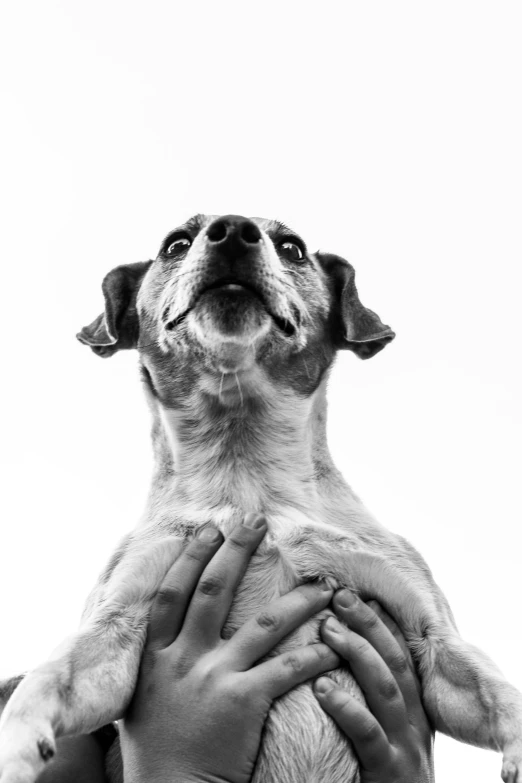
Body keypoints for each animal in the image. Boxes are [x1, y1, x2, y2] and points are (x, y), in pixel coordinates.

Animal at [1, 214, 520, 783]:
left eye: (291, 247)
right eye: (176, 244)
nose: (232, 229)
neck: (245, 475)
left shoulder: (438, 645)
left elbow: (503, 698)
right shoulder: (111, 636)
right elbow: (44, 681)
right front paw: (15, 744)